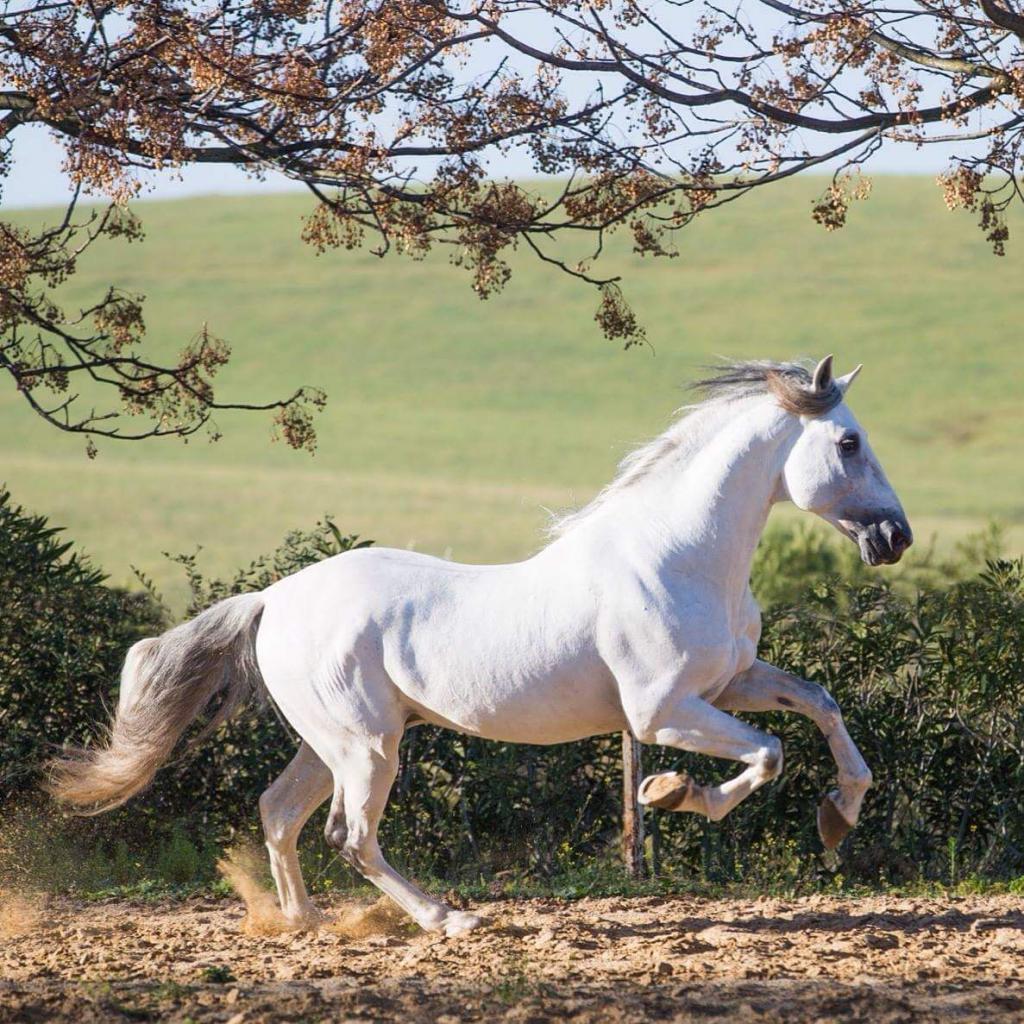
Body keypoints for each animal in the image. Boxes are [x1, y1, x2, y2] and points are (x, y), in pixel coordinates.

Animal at [48, 358, 913, 937]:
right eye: (848, 442)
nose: (895, 537)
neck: (679, 556)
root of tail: (273, 600)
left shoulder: (731, 683)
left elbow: (821, 708)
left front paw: (838, 816)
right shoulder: (663, 711)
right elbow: (766, 754)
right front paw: (670, 793)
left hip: (332, 743)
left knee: (279, 812)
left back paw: (308, 923)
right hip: (367, 748)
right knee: (349, 836)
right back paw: (448, 919)